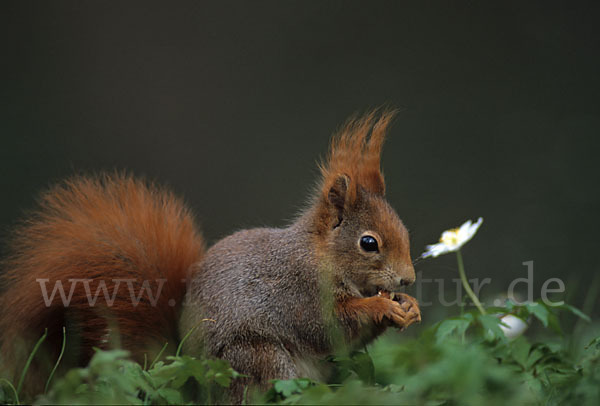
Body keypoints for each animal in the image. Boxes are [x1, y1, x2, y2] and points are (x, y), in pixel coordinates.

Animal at [0, 110, 422, 400]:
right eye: (369, 243)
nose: (408, 279)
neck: (319, 255)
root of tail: (192, 380)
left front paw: (409, 307)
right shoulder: (296, 291)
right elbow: (328, 324)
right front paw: (382, 306)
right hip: (257, 358)